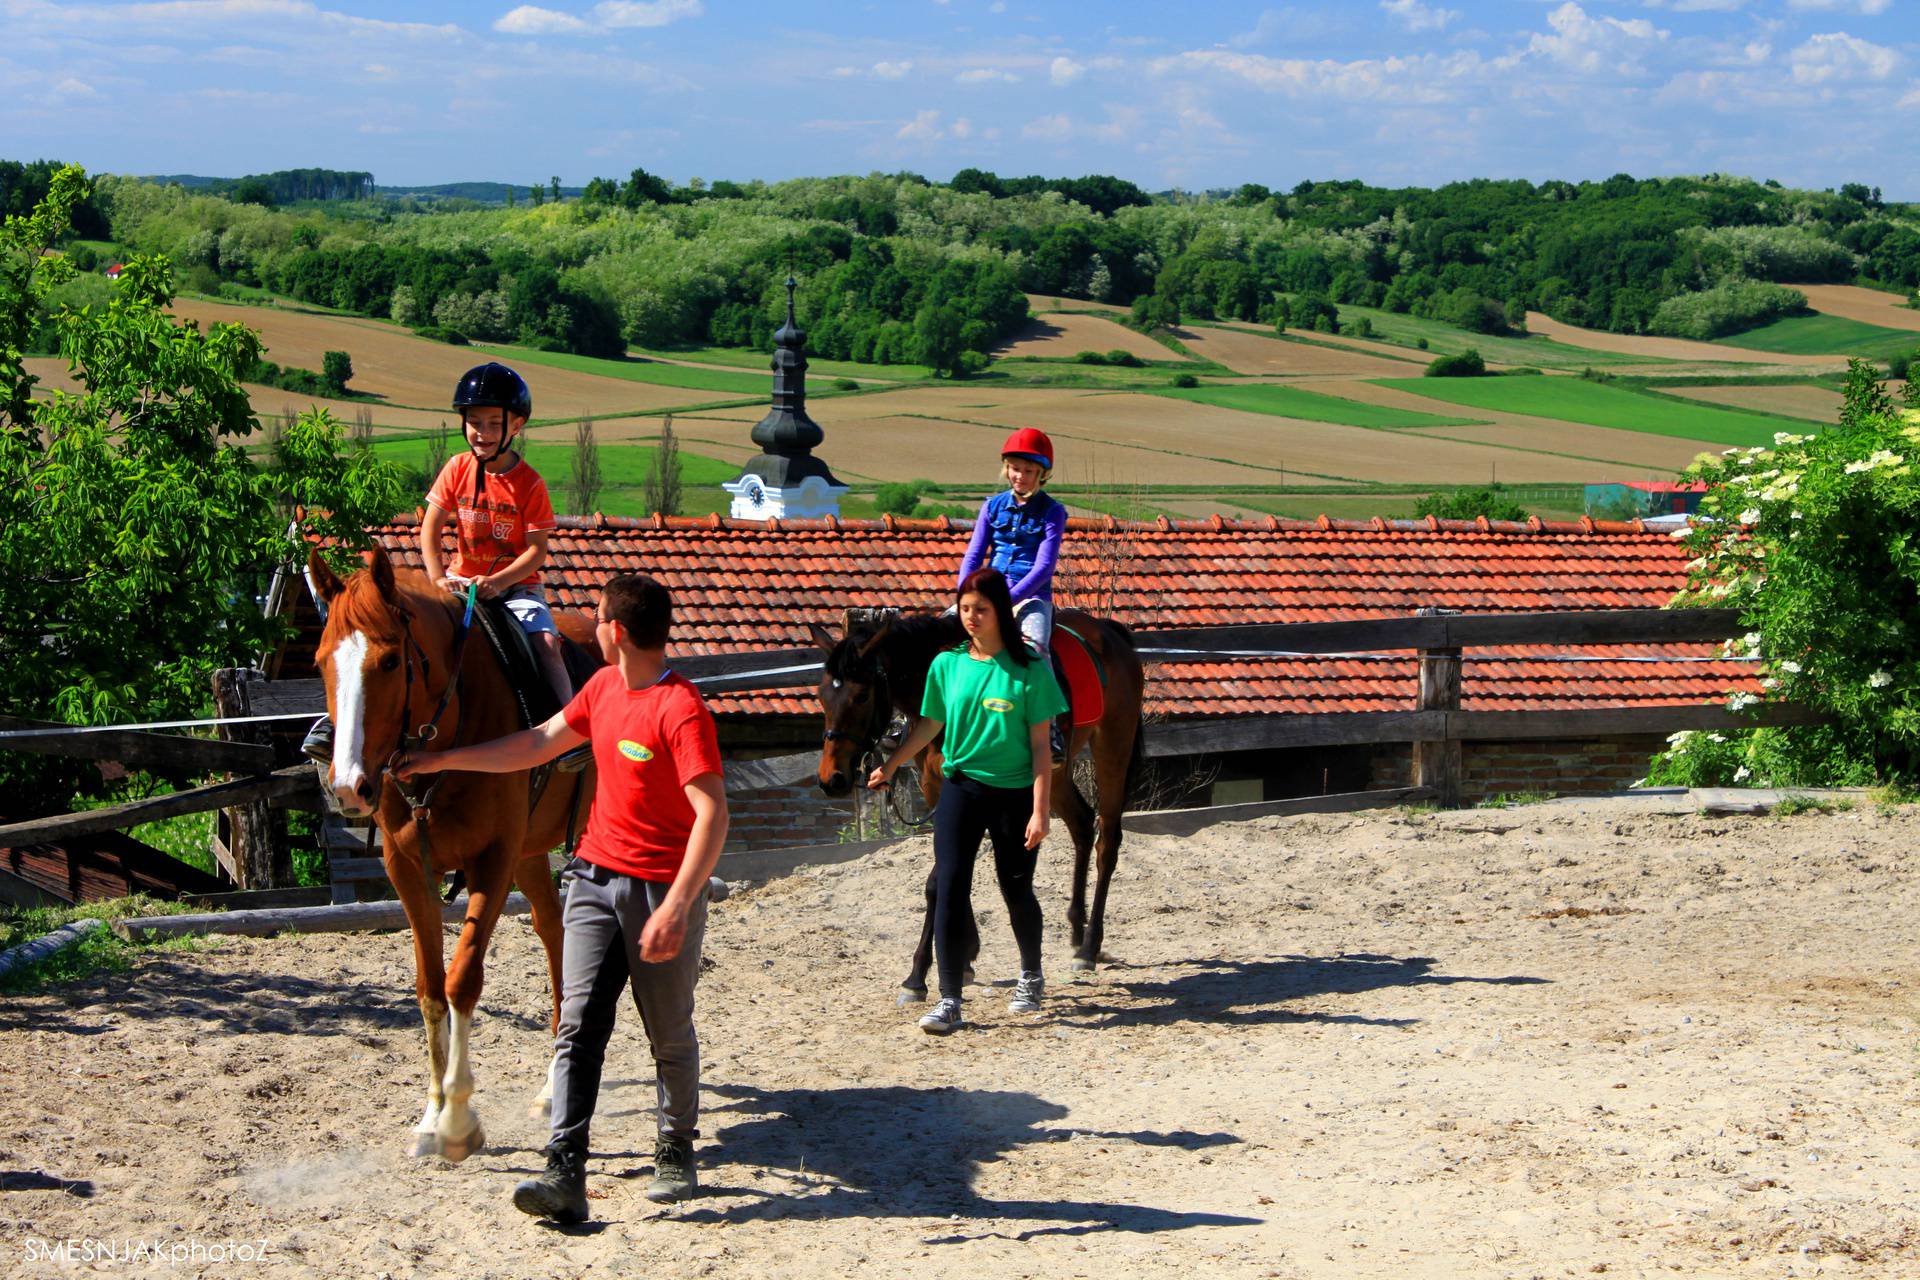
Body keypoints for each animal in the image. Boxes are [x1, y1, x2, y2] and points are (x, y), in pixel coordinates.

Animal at [309, 545, 599, 1166]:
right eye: (322, 662)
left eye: (390, 661)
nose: (349, 787)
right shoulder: (407, 868)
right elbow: (428, 987)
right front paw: (430, 1114)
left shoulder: (491, 859)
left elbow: (462, 979)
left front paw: (458, 1120)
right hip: (529, 855)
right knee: (552, 929)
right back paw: (552, 1087)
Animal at [806, 614, 1136, 997]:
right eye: (821, 695)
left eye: (861, 695)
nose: (831, 779)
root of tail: (1108, 630)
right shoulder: (936, 787)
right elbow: (954, 868)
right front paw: (966, 954)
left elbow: (938, 881)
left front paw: (918, 975)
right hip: (1055, 775)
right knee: (1082, 824)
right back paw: (1076, 930)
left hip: (1113, 747)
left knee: (1107, 842)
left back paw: (1089, 946)